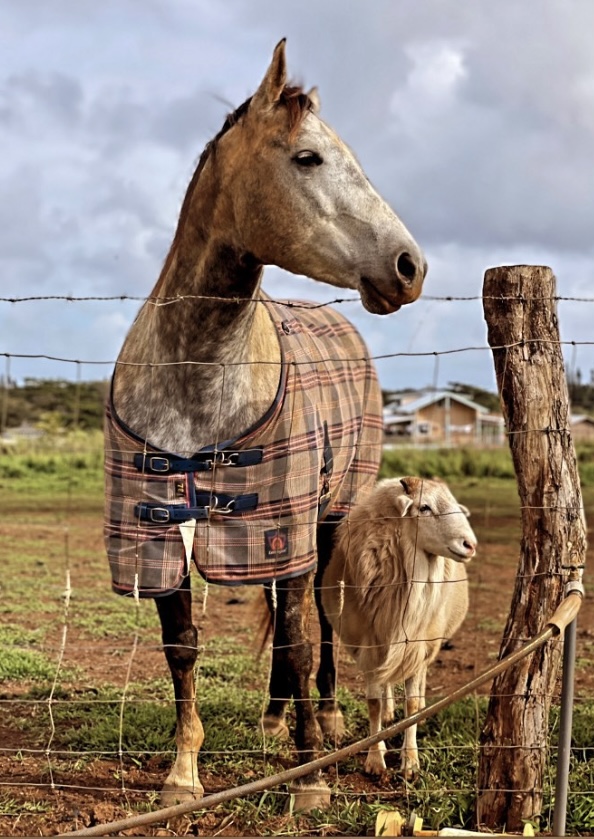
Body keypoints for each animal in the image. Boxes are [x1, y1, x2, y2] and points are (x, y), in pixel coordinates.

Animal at [103, 41, 426, 812]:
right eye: (308, 157)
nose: (410, 267)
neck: (197, 370)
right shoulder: (159, 525)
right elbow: (184, 643)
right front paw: (183, 772)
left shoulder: (283, 522)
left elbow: (302, 640)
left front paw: (308, 781)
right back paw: (276, 716)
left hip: (329, 512)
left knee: (316, 614)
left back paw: (327, 718)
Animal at [320, 476, 476, 776]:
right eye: (424, 507)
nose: (470, 544)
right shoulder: (368, 647)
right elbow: (373, 703)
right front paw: (374, 757)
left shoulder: (418, 645)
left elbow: (412, 705)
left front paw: (411, 762)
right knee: (387, 683)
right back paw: (389, 712)